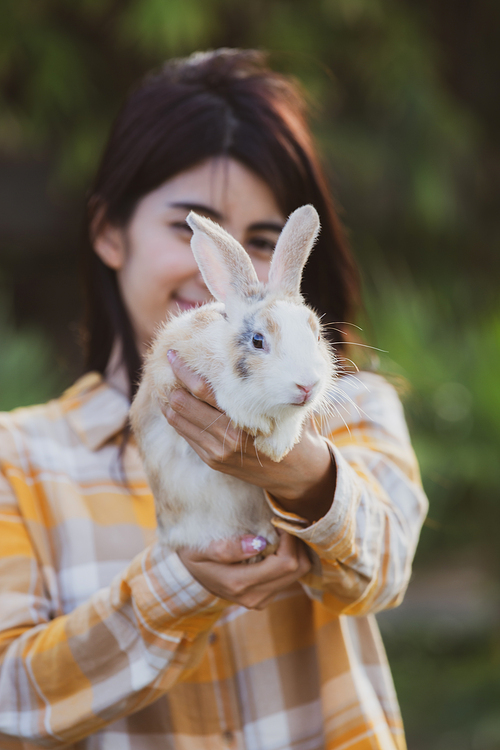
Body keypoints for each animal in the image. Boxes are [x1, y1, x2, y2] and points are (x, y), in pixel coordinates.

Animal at [131, 206, 338, 560]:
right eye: (258, 341)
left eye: (317, 335)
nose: (307, 386)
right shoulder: (169, 370)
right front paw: (258, 426)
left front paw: (277, 447)